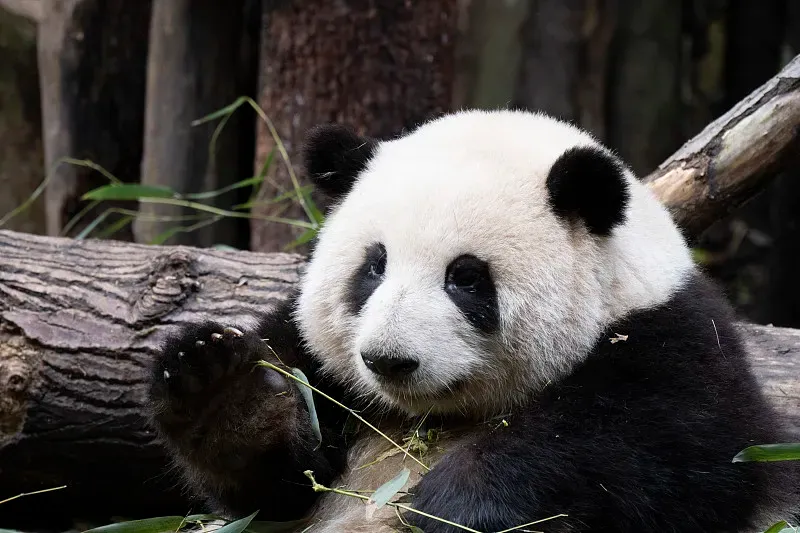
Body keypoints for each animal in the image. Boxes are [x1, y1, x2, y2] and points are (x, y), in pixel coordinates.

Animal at [147, 109, 797, 533]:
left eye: (465, 277)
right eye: (374, 266)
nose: (387, 360)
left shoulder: (675, 346)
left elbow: (659, 450)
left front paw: (450, 507)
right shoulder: (317, 360)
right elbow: (269, 488)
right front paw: (225, 396)